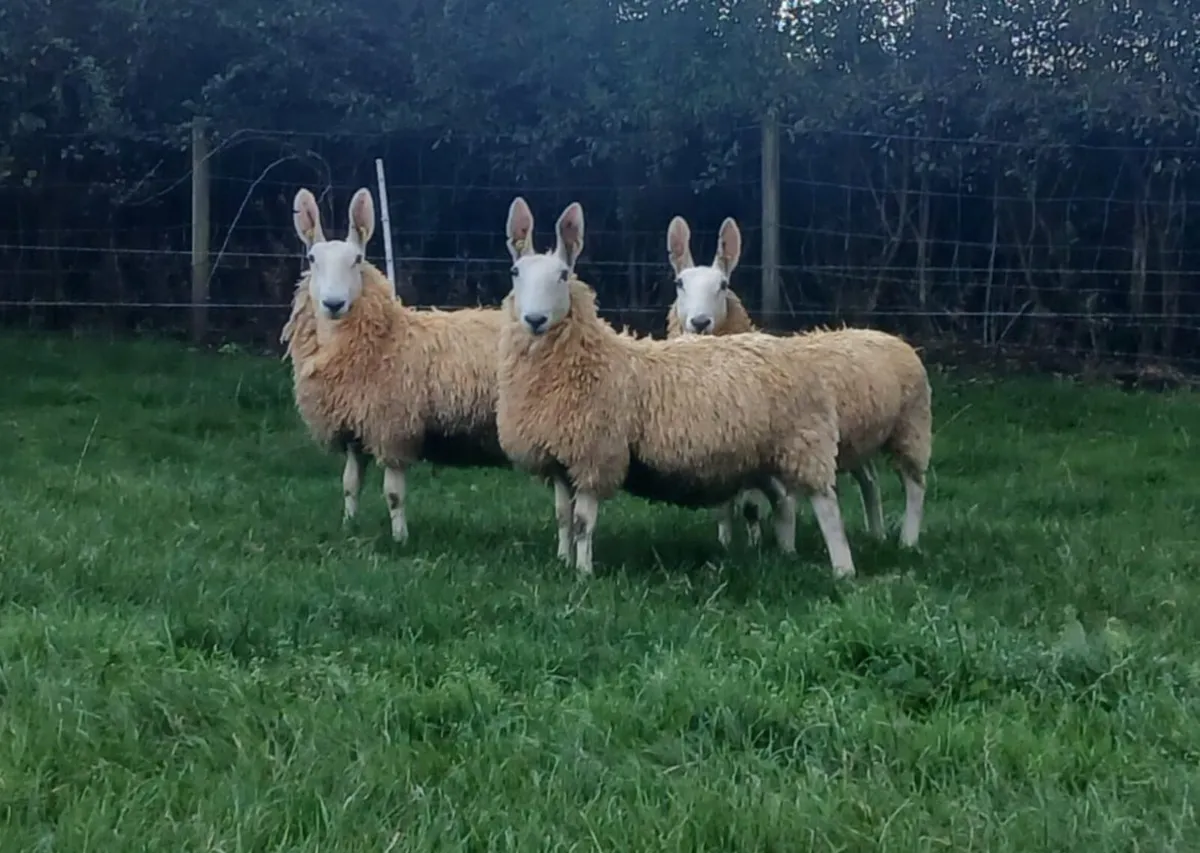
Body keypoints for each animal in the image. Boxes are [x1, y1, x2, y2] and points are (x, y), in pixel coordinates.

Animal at [281, 185, 510, 542]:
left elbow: (393, 494)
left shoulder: (393, 428)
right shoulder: (355, 431)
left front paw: (400, 539)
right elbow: (350, 484)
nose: (333, 303)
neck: (384, 338)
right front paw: (348, 526)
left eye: (357, 259)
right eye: (312, 259)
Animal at [495, 196, 856, 578]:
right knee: (783, 502)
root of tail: (787, 347)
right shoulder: (560, 456)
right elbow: (563, 518)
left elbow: (582, 523)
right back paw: (787, 553)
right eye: (515, 273)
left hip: (804, 442)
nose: (535, 320)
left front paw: (584, 573)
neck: (589, 359)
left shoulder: (596, 454)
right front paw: (563, 561)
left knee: (826, 506)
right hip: (764, 455)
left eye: (563, 275)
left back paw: (843, 570)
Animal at [664, 214, 931, 552]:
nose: (700, 323)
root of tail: (887, 335)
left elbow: (768, 506)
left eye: (723, 285)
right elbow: (726, 507)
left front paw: (782, 549)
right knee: (870, 480)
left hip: (911, 425)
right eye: (679, 284)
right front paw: (728, 543)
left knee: (914, 483)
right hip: (857, 438)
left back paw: (908, 540)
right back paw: (877, 533)